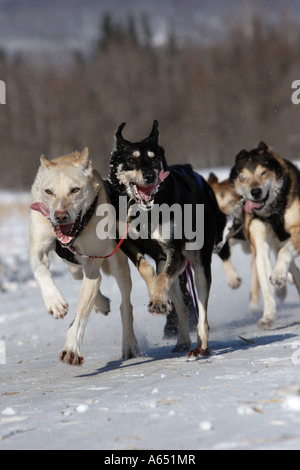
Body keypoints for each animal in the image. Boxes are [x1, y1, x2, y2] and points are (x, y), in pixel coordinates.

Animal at [29, 149, 139, 366]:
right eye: (48, 191)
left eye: (75, 190)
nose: (60, 216)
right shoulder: (39, 249)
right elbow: (39, 269)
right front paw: (54, 301)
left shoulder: (93, 261)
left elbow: (81, 313)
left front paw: (71, 349)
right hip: (74, 267)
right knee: (83, 277)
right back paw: (101, 303)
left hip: (118, 265)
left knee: (125, 305)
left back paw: (129, 343)